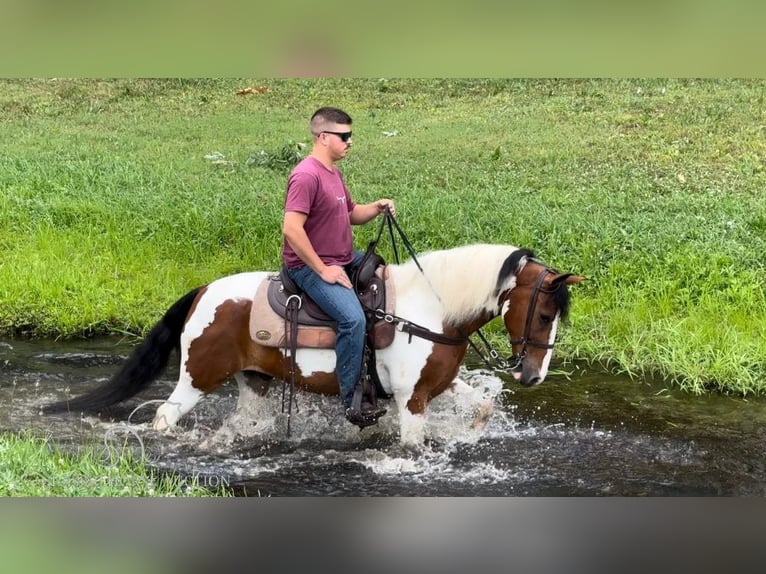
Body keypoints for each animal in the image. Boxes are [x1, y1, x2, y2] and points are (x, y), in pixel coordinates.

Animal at [43, 245, 584, 448]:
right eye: (543, 314)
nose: (532, 375)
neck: (431, 309)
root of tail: (203, 292)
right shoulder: (411, 398)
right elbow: (412, 442)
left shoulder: (437, 386)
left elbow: (483, 406)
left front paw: (469, 434)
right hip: (197, 377)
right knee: (165, 415)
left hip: (255, 383)